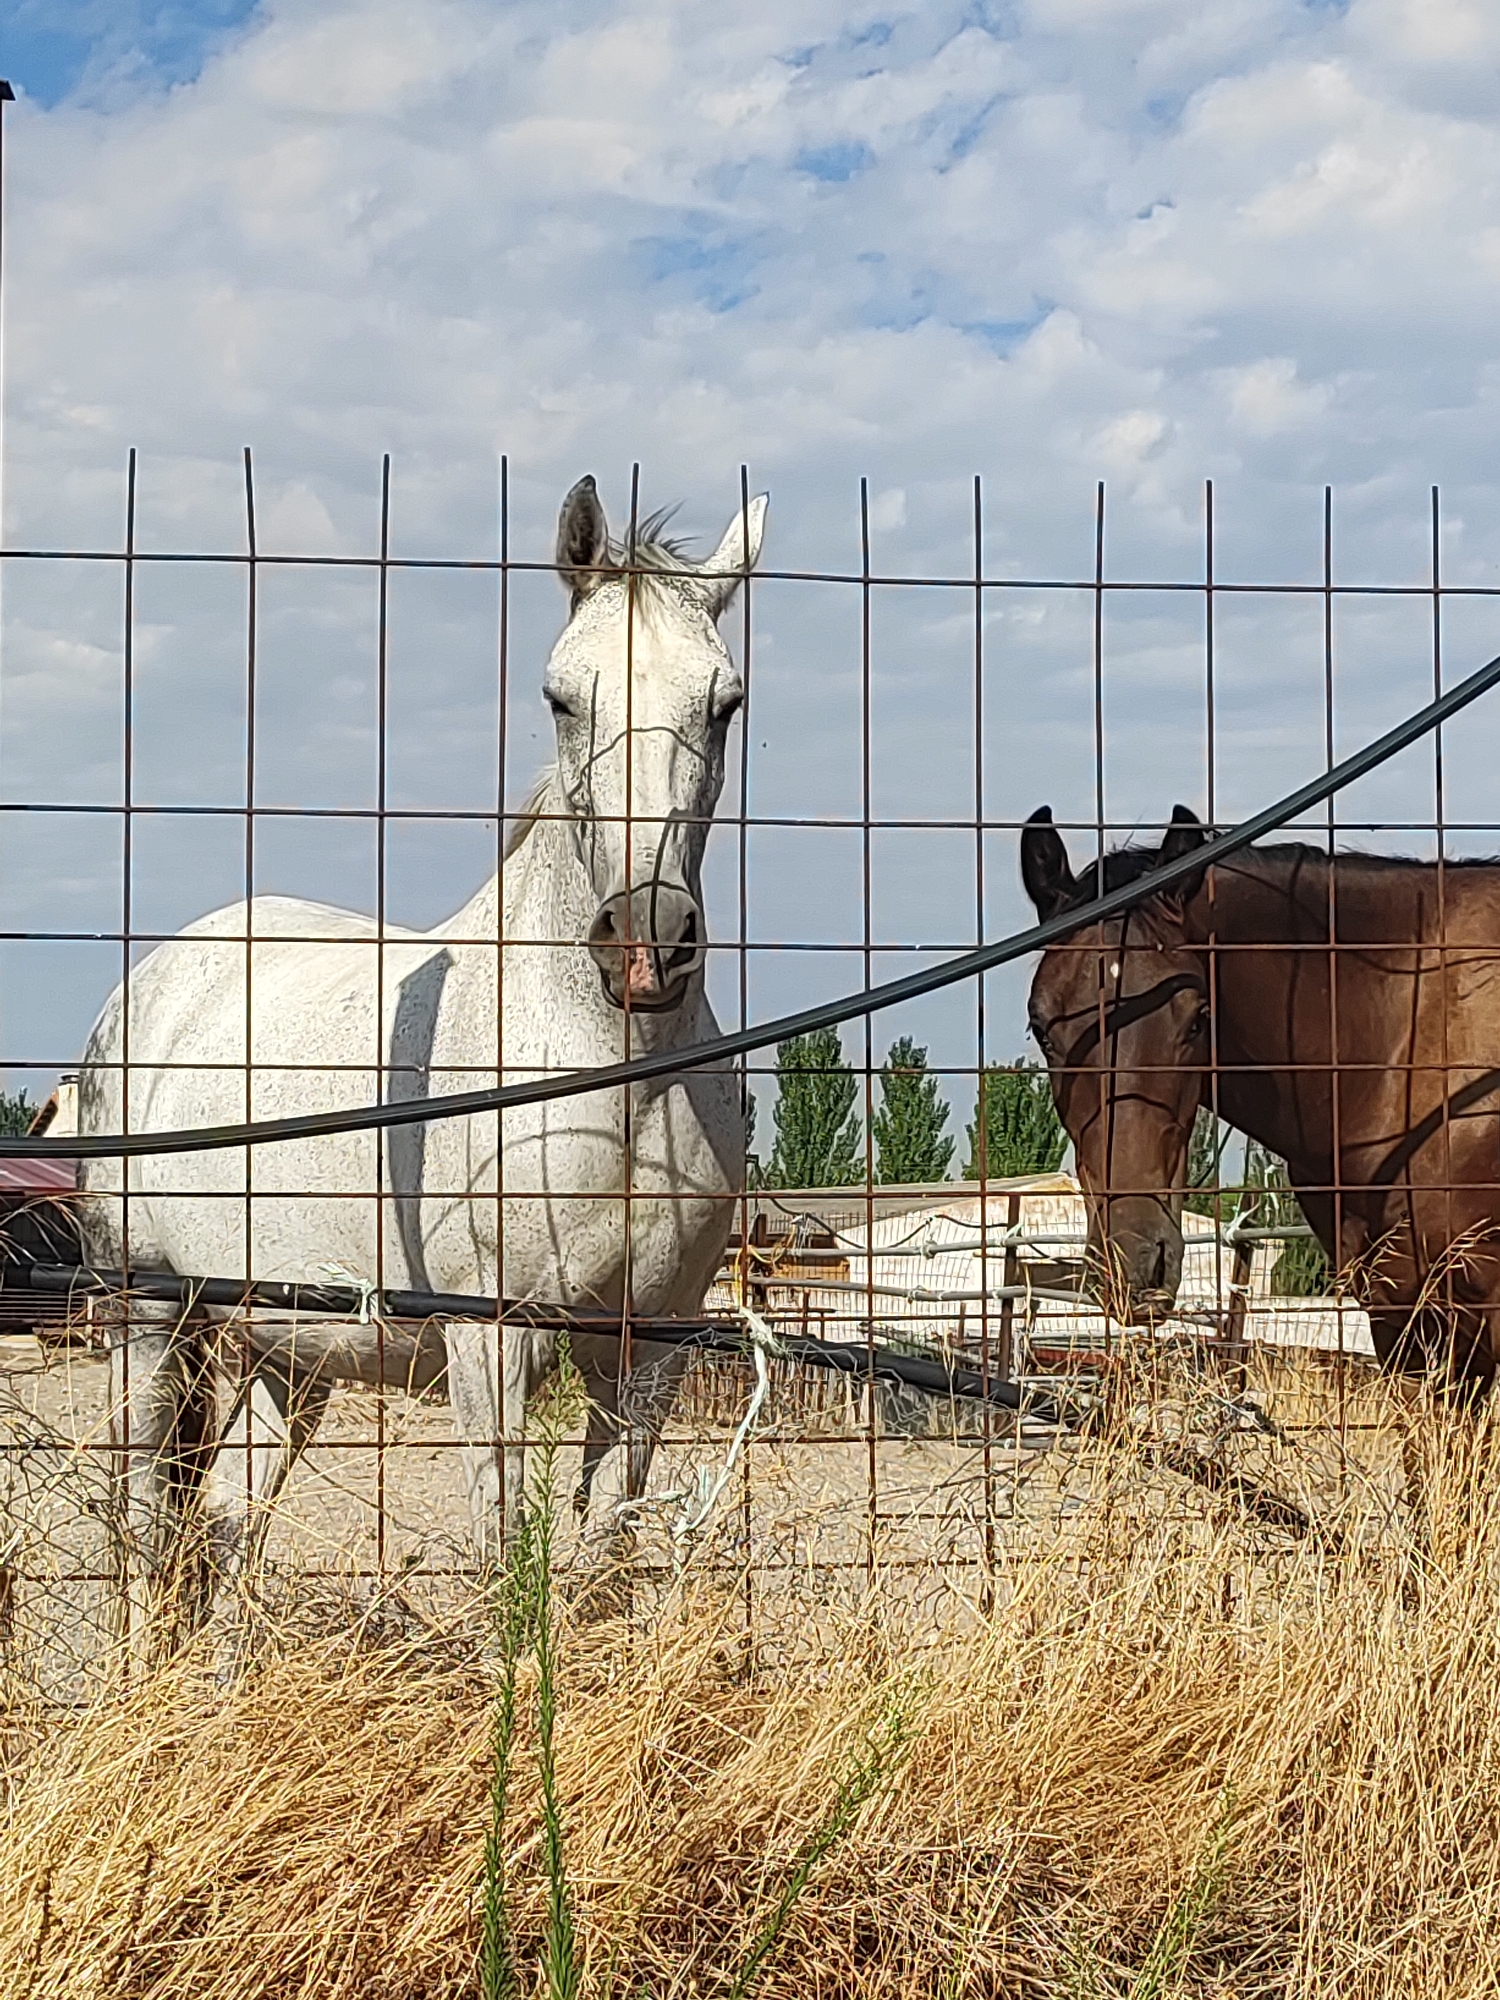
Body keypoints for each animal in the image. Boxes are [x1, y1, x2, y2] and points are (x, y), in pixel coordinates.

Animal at [74, 473, 766, 1643]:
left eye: (725, 702)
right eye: (560, 697)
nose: (645, 943)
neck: (611, 1080)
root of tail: (158, 977)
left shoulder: (650, 1348)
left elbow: (603, 1551)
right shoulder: (494, 1342)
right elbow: (503, 1552)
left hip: (284, 1349)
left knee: (229, 1521)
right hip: (150, 1314)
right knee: (140, 1516)